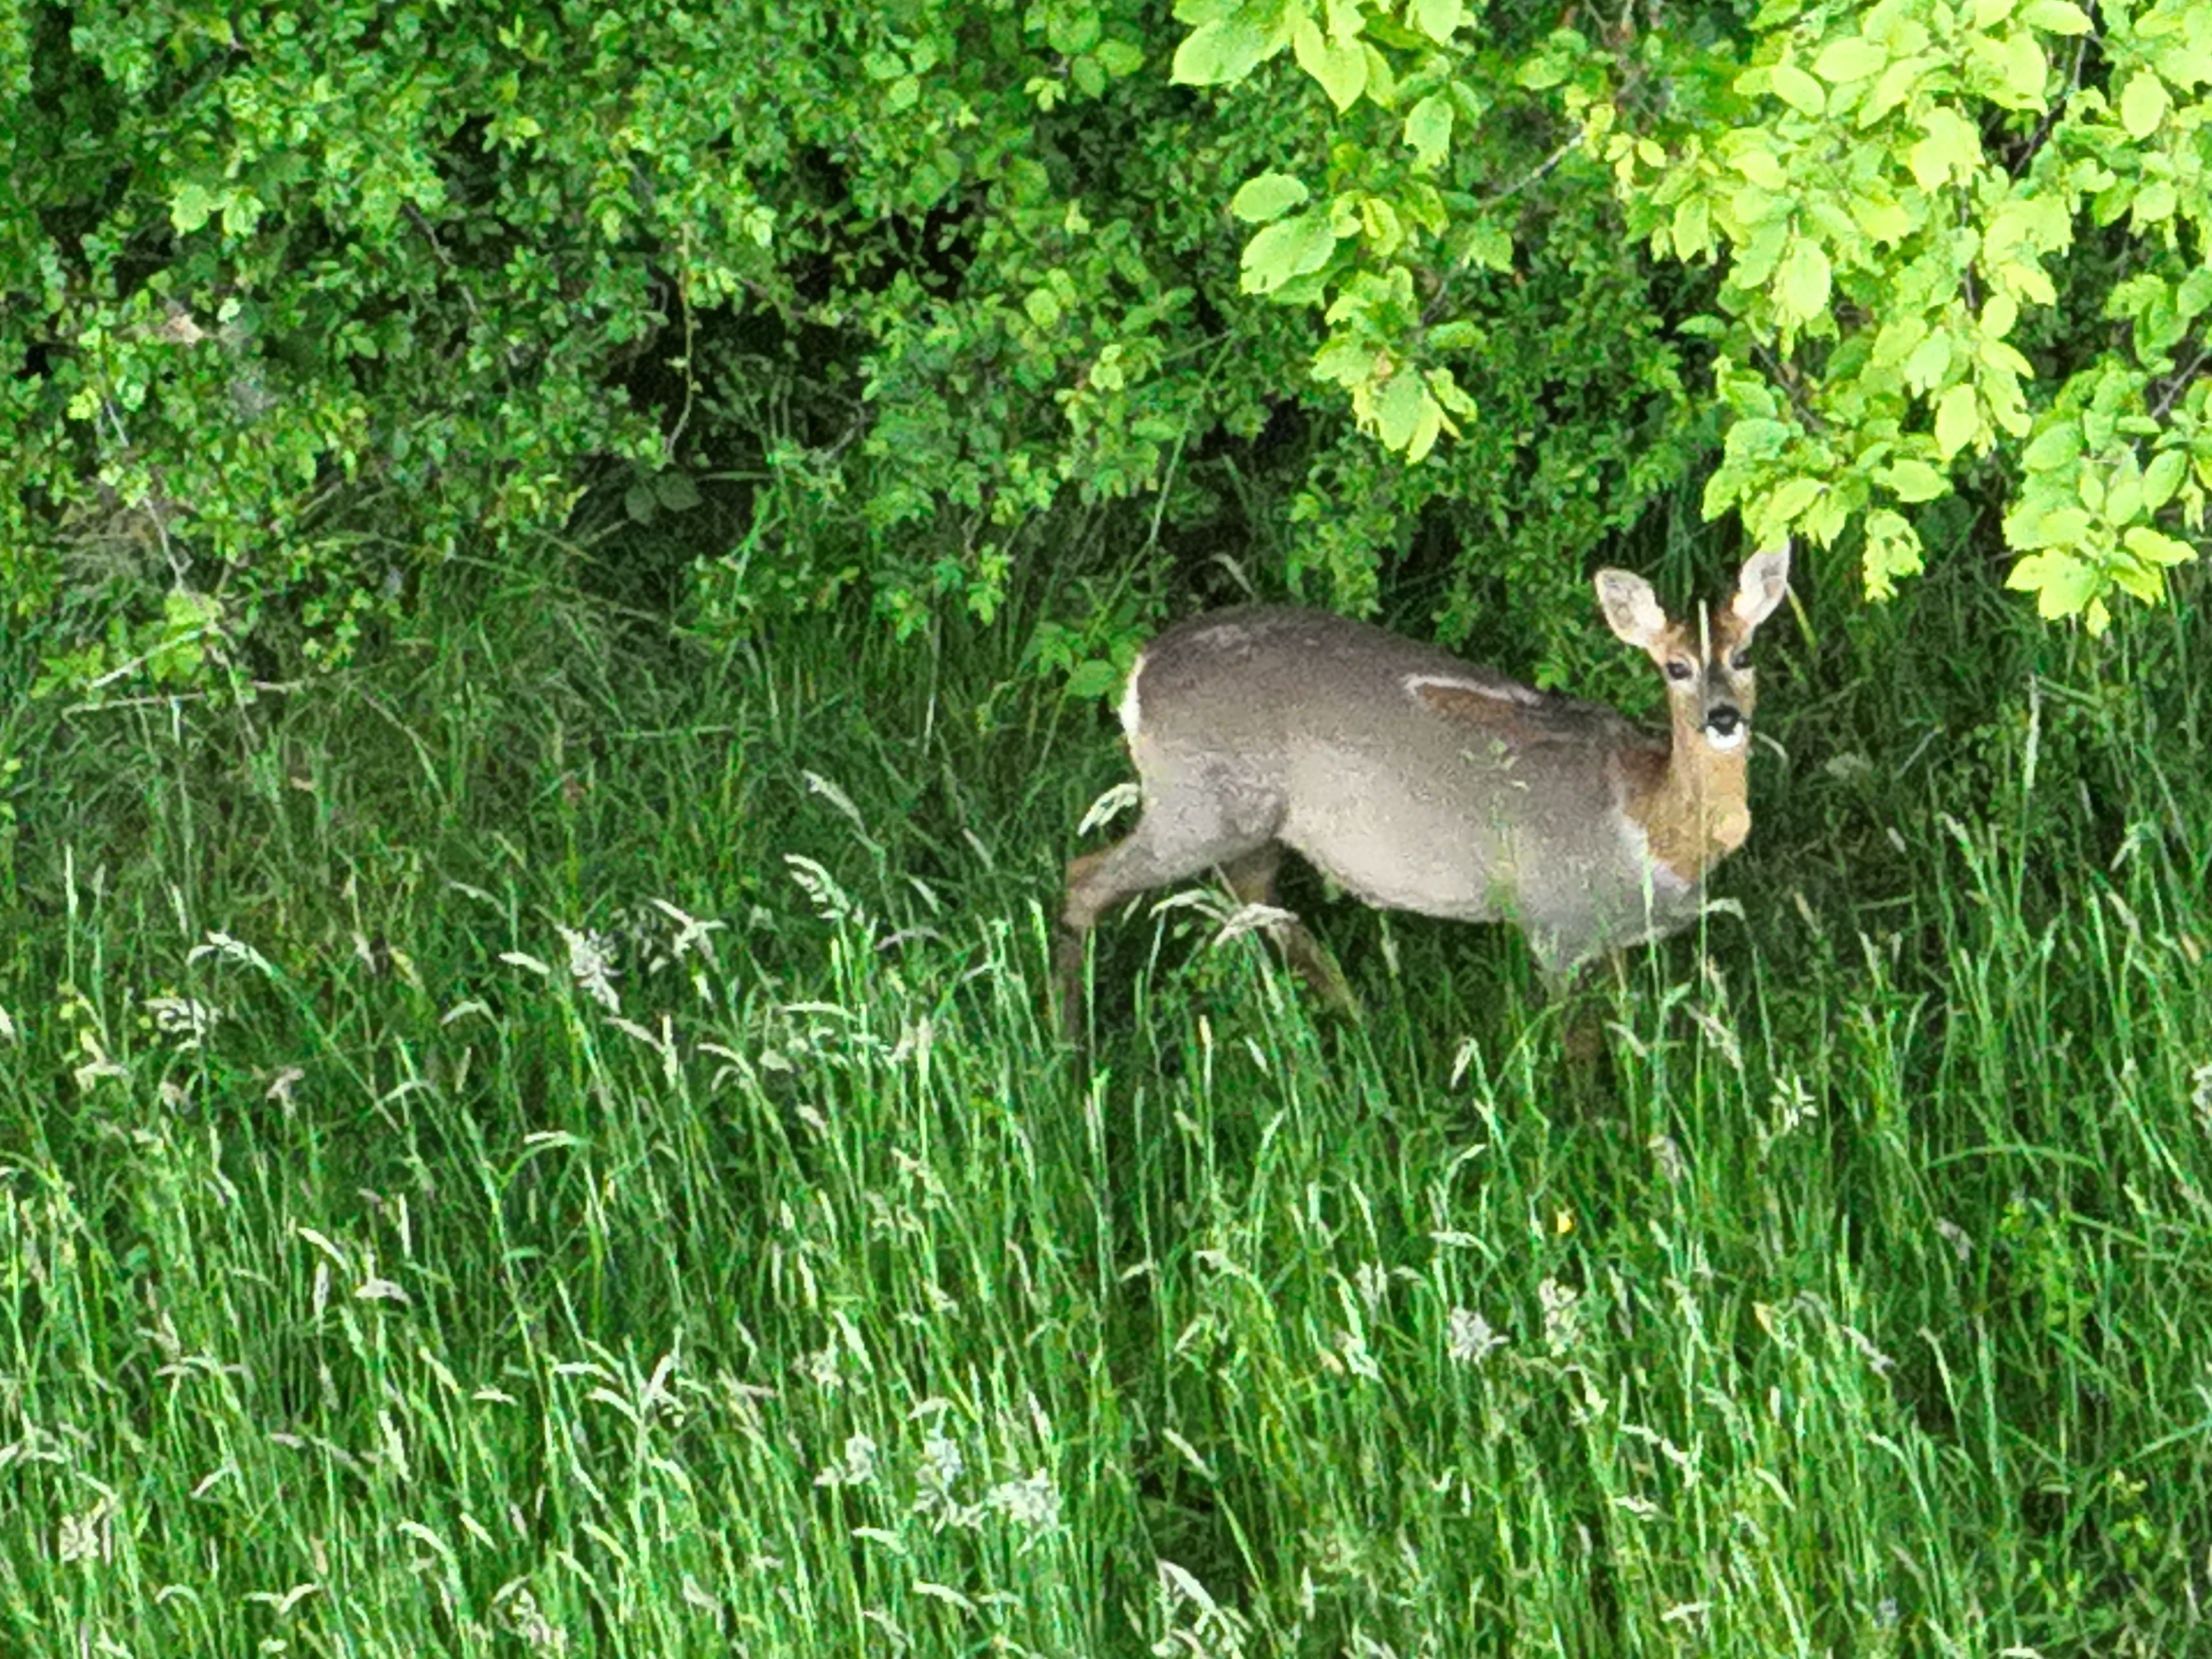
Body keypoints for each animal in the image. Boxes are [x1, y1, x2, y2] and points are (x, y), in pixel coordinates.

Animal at [1056, 547, 1792, 1037]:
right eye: (1675, 667)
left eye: (1745, 655)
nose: (1723, 717)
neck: (1650, 820)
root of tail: (1137, 676)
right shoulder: (1556, 922)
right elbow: (1577, 1045)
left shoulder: (1610, 941)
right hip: (1196, 806)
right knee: (1084, 876)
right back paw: (1071, 1046)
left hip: (1254, 823)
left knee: (1253, 900)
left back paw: (1350, 1016)